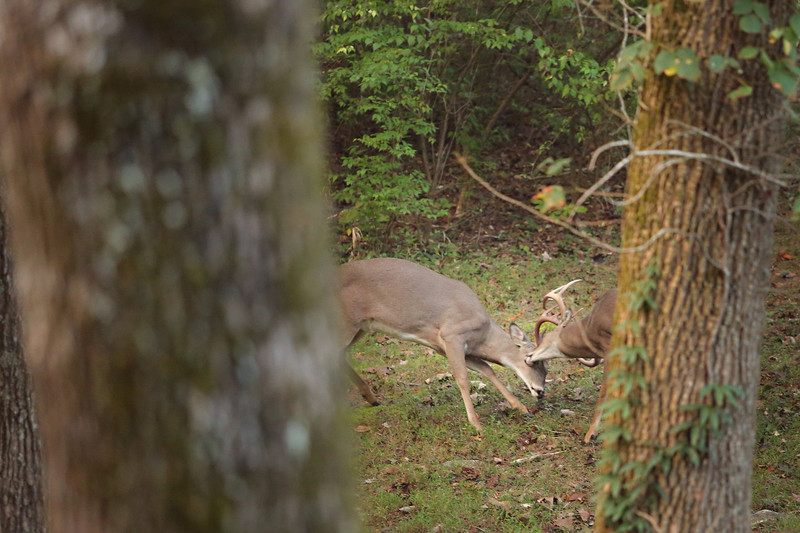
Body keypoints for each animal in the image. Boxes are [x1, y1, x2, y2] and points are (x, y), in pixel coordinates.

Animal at [338, 258, 552, 432]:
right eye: (531, 360)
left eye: (547, 368)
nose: (540, 391)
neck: (483, 334)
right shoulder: (452, 335)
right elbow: (463, 378)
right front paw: (476, 424)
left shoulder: (446, 347)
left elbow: (487, 369)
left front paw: (522, 408)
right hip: (346, 322)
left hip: (361, 327)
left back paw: (372, 399)